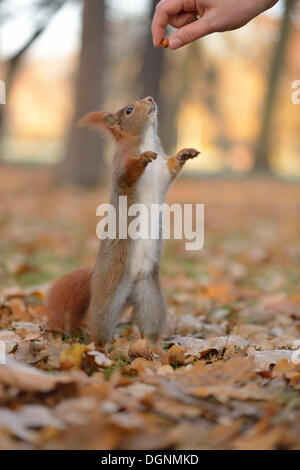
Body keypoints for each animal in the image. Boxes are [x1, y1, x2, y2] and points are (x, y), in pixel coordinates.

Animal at [47, 96, 200, 346]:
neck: (145, 138)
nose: (150, 98)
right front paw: (143, 158)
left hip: (150, 297)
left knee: (150, 322)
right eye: (128, 110)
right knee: (99, 323)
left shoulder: (162, 173)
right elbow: (127, 174)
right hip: (108, 295)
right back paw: (102, 346)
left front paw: (185, 153)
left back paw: (152, 347)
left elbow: (170, 169)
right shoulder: (122, 169)